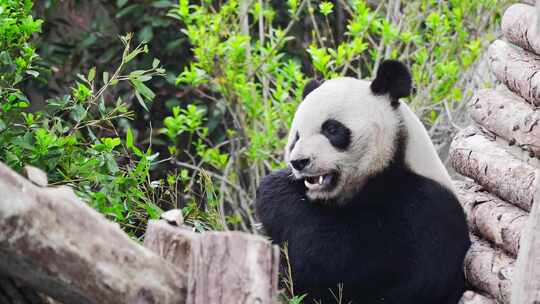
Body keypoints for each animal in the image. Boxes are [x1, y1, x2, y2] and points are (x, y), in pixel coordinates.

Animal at [255, 60, 470, 304]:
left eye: (332, 129)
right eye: (297, 137)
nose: (299, 162)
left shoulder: (417, 210)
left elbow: (334, 256)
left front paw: (274, 188)